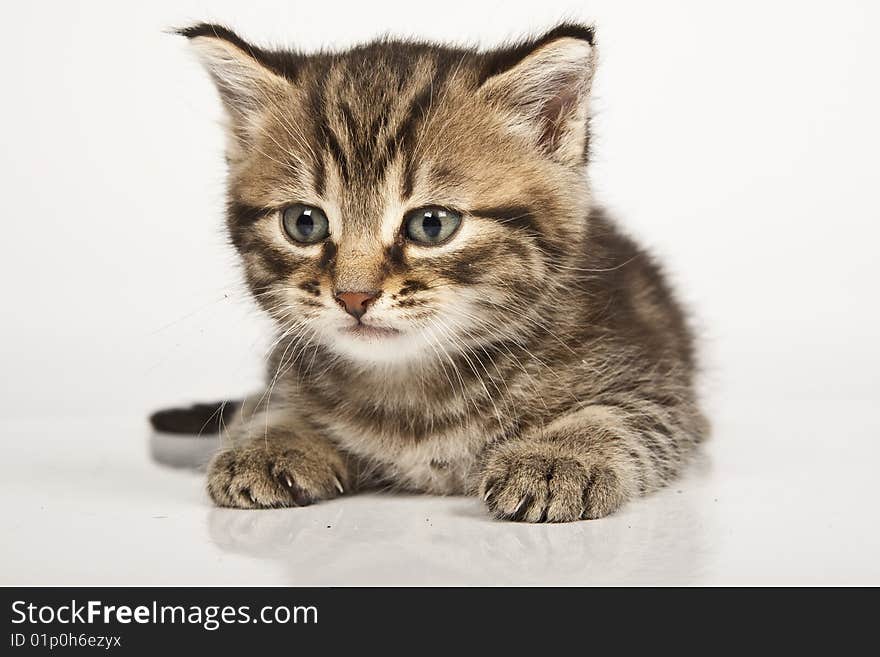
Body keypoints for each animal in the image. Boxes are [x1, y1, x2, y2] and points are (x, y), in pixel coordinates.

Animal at [151, 21, 712, 524]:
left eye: (432, 224)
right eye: (304, 223)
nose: (354, 297)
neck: (413, 388)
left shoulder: (657, 381)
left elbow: (626, 414)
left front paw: (558, 456)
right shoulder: (288, 365)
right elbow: (267, 403)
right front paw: (273, 440)